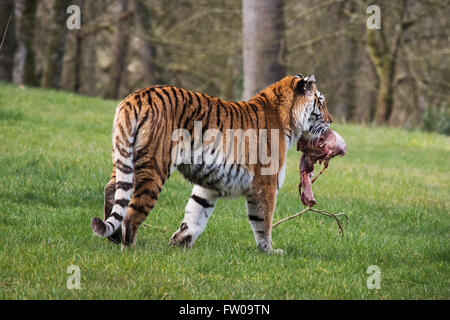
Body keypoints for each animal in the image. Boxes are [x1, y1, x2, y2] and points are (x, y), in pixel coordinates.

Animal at [90, 74, 330, 252]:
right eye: (321, 101)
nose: (331, 120)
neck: (286, 116)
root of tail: (137, 96)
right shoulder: (266, 183)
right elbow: (263, 221)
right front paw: (269, 251)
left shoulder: (210, 184)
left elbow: (196, 213)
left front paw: (179, 242)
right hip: (154, 167)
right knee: (131, 212)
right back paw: (129, 248)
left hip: (122, 158)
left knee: (112, 191)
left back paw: (112, 239)